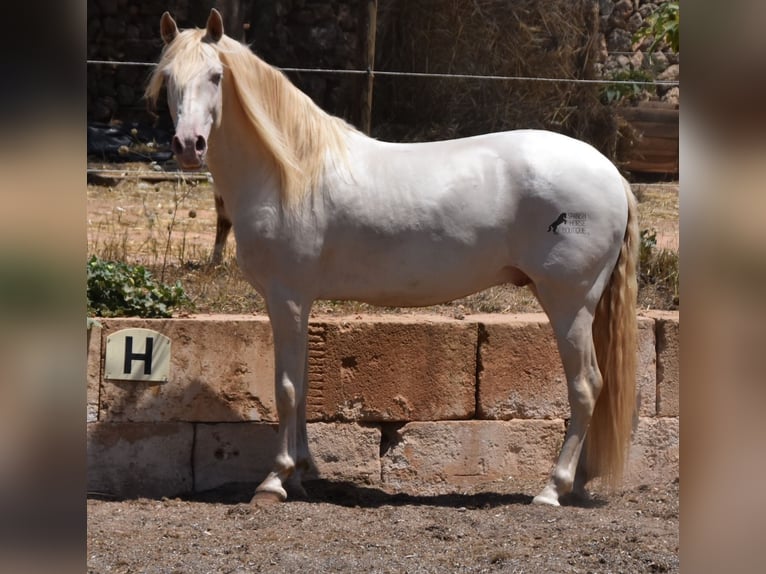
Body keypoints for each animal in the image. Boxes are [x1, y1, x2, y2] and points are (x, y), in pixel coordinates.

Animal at [147, 6, 640, 506]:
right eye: (168, 78)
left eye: (215, 75)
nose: (188, 146)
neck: (290, 172)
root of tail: (611, 173)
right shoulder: (301, 302)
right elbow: (301, 386)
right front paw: (300, 474)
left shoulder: (285, 297)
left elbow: (285, 389)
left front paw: (274, 480)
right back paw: (578, 481)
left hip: (569, 303)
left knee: (585, 387)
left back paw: (552, 489)